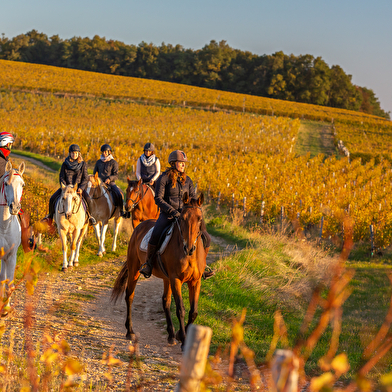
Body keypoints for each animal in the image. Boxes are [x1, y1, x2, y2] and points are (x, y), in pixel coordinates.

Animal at [112, 193, 207, 350]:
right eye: (182, 218)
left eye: (200, 218)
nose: (189, 248)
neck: (189, 256)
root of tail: (139, 227)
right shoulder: (176, 279)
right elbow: (180, 309)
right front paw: (183, 339)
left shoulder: (195, 281)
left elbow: (193, 312)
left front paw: (182, 336)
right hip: (134, 269)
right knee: (129, 296)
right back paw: (130, 331)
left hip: (166, 278)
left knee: (165, 301)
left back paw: (171, 335)